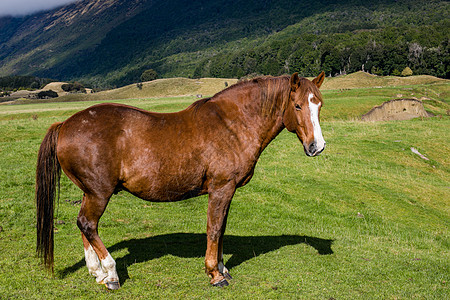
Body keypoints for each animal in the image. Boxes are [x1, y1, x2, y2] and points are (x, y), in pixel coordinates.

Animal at [34, 71, 324, 290]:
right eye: (298, 105)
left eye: (319, 104)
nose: (316, 146)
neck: (232, 125)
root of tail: (65, 124)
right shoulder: (221, 189)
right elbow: (214, 229)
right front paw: (215, 275)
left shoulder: (227, 191)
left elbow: (221, 229)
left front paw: (222, 269)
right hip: (99, 193)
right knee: (88, 224)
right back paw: (111, 273)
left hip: (90, 192)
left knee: (84, 225)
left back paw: (97, 272)